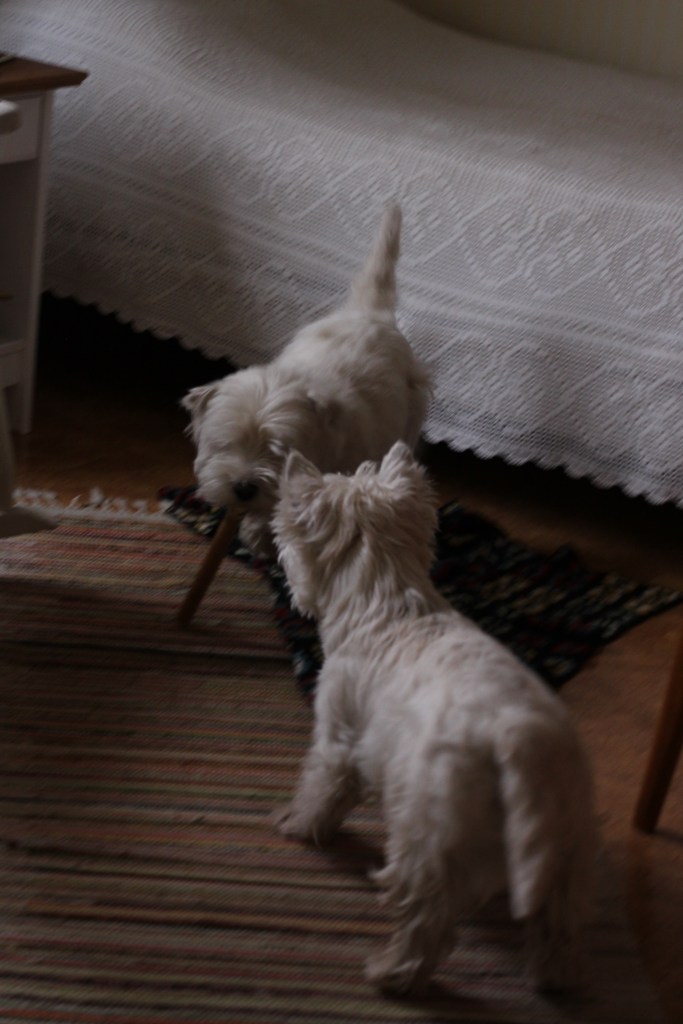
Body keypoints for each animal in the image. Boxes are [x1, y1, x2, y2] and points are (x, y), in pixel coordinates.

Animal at [182, 203, 429, 558]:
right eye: (225, 443)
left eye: (279, 451)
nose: (243, 487)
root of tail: (372, 313)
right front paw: (257, 532)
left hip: (412, 407)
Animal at [272, 441, 597, 996]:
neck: (382, 596)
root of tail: (519, 740)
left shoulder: (339, 736)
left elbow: (321, 787)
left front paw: (297, 825)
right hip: (566, 838)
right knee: (557, 915)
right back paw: (553, 978)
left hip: (429, 826)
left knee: (427, 914)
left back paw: (392, 972)